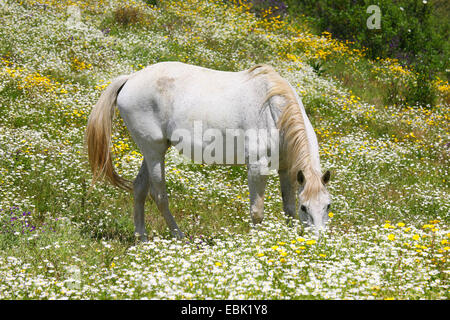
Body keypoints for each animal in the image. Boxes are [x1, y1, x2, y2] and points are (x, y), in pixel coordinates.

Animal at [87, 62, 330, 240]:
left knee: (139, 188)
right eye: (305, 208)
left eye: (328, 206)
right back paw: (179, 236)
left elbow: (288, 208)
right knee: (159, 195)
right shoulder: (256, 168)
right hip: (154, 151)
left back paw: (142, 239)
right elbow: (257, 212)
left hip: (152, 150)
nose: (317, 242)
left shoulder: (286, 169)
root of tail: (130, 79)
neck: (273, 111)